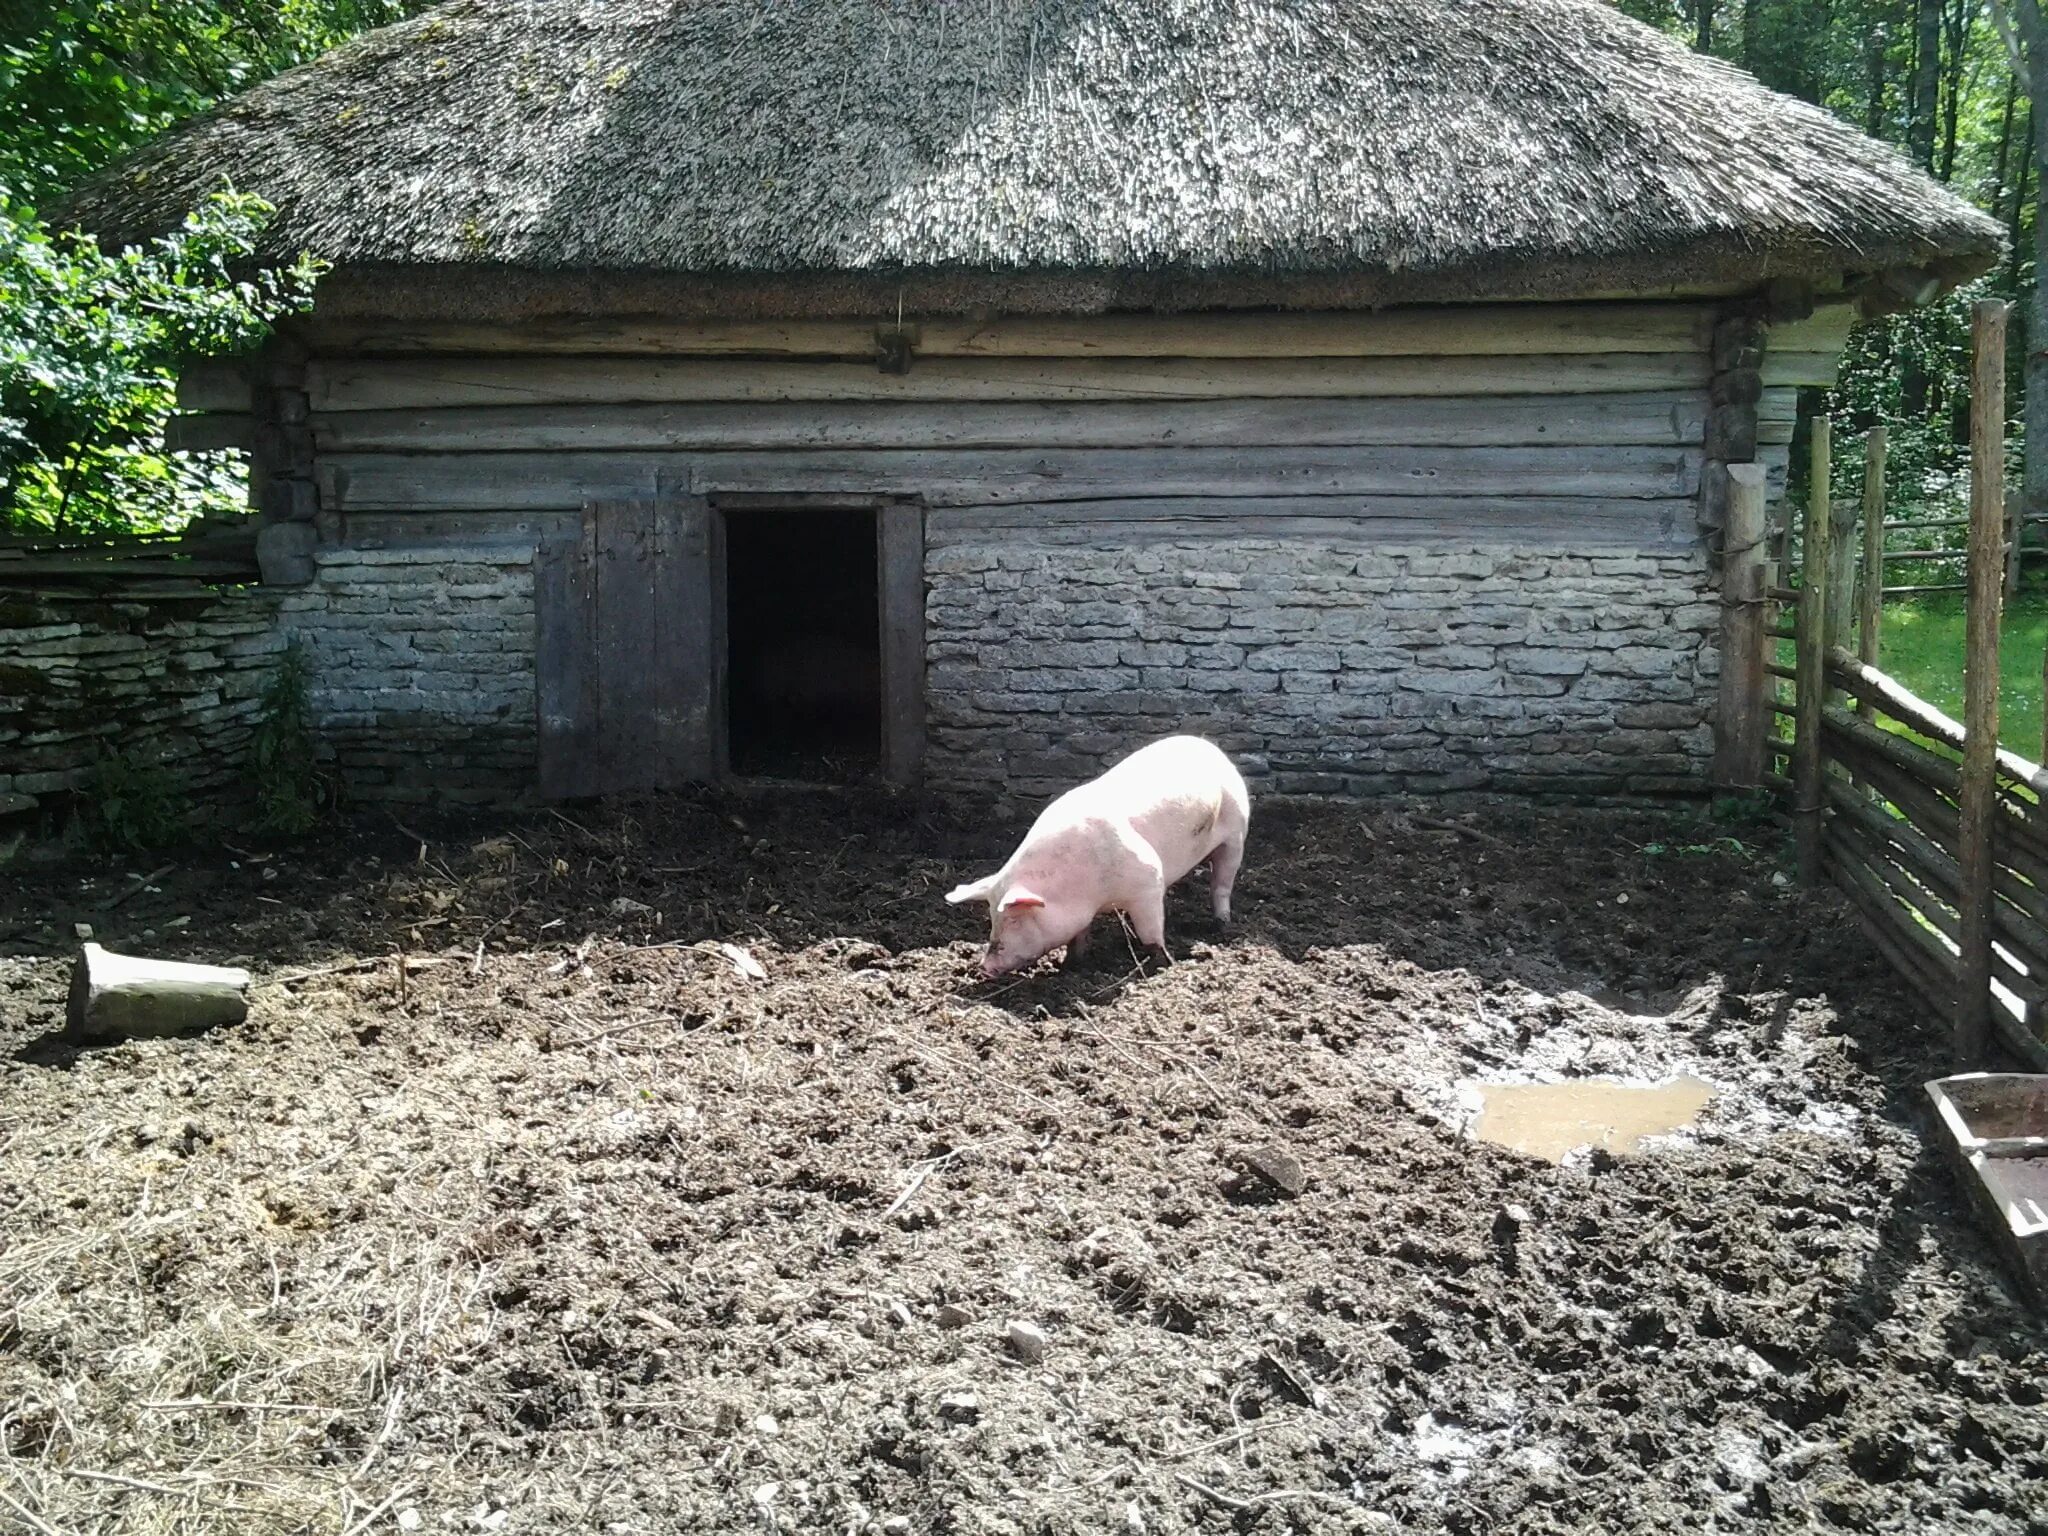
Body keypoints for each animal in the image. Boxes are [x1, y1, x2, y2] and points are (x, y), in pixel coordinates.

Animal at [942, 737, 1245, 978]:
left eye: (1014, 920)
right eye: (993, 917)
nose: (985, 967)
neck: (1090, 895)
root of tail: (1209, 747)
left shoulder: (1148, 881)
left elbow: (1151, 932)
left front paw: (1163, 963)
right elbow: (1078, 937)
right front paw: (1070, 965)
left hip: (1237, 833)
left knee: (1222, 884)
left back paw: (1222, 923)